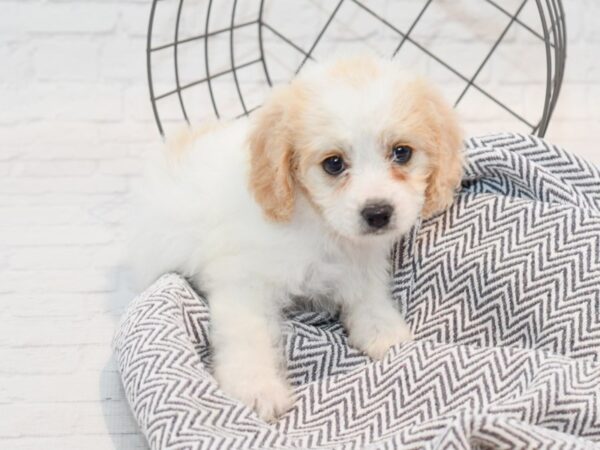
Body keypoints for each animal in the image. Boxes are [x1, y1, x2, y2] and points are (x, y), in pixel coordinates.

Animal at [129, 55, 462, 422]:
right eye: (334, 164)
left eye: (402, 153)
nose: (377, 213)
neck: (318, 225)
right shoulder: (242, 285)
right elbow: (248, 337)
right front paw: (256, 388)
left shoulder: (361, 265)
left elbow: (369, 298)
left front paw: (384, 332)